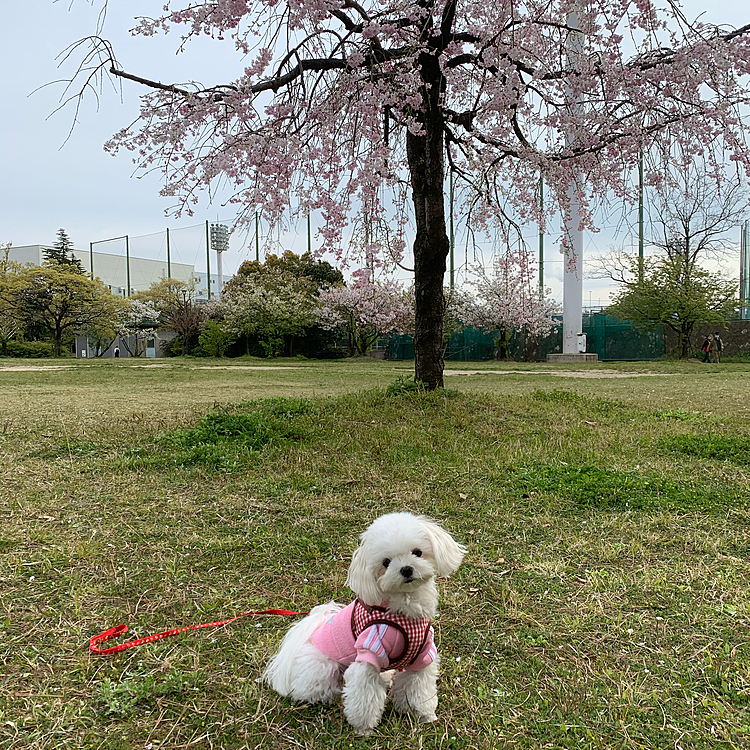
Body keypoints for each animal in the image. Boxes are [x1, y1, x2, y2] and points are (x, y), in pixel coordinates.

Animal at [262, 516, 464, 736]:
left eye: (417, 552)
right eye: (386, 563)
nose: (406, 569)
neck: (403, 610)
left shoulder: (422, 654)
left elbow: (420, 688)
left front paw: (424, 714)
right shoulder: (369, 651)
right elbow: (364, 695)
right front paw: (363, 728)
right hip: (322, 668)